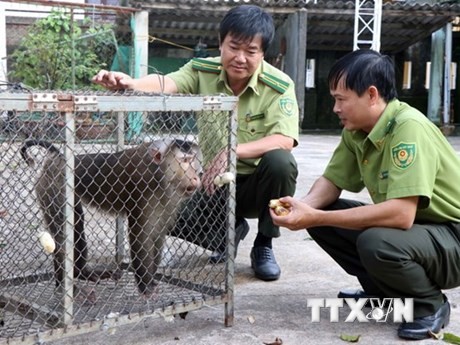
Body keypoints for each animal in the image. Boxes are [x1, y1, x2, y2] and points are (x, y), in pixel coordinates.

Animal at [21, 138, 201, 296]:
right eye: (185, 160)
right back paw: (64, 286)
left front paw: (151, 281)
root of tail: (58, 161)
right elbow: (142, 234)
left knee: (77, 224)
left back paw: (81, 273)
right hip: (54, 189)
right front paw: (145, 285)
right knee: (63, 233)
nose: (196, 176)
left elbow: (158, 232)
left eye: (193, 160)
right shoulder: (144, 188)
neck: (160, 173)